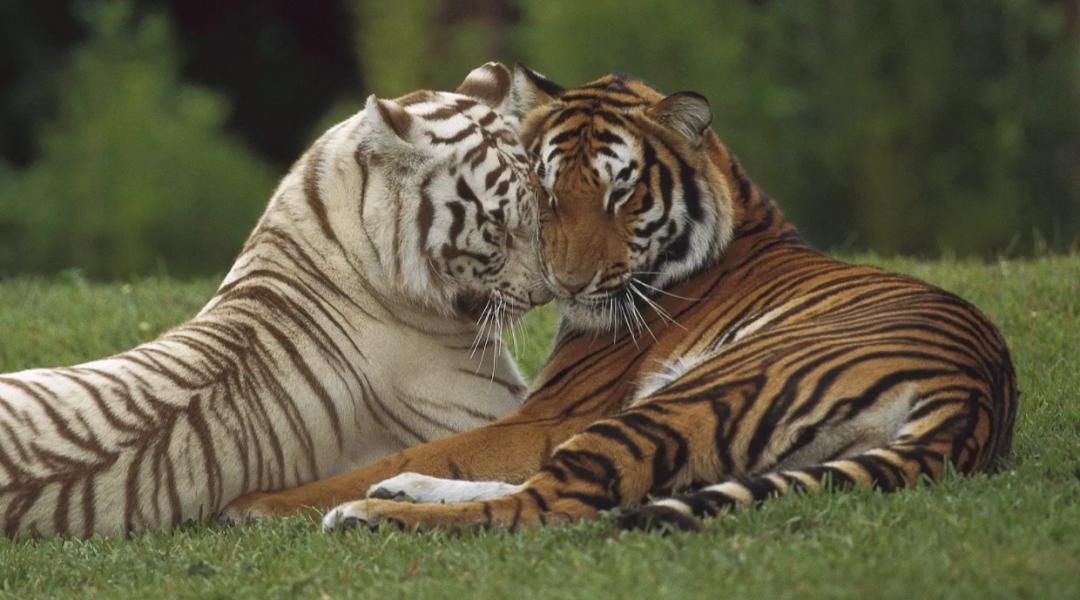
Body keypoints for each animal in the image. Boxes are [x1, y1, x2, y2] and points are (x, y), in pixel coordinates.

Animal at [222, 65, 1017, 533]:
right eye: (545, 190)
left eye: (621, 193)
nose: (566, 284)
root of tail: (974, 396)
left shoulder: (553, 413)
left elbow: (432, 448)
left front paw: (260, 503)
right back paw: (395, 495)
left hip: (688, 397)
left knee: (548, 502)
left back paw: (365, 512)